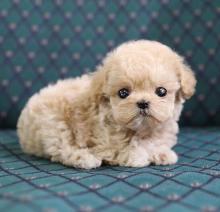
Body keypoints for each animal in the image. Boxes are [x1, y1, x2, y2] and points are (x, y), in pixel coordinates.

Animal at [17, 39, 196, 169]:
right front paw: (140, 157)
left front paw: (162, 153)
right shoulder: (108, 142)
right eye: (123, 93)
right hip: (54, 124)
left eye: (161, 91)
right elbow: (131, 150)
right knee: (62, 149)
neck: (142, 129)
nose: (143, 103)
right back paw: (85, 158)